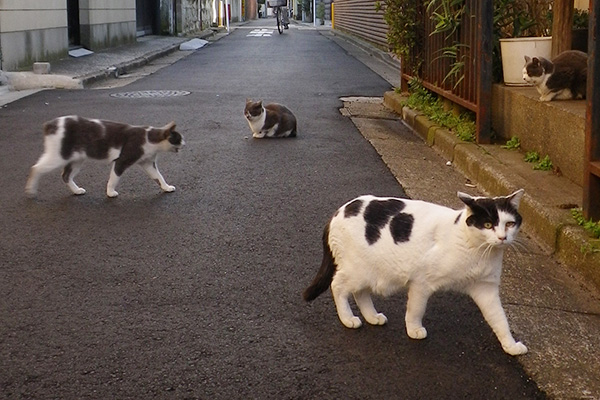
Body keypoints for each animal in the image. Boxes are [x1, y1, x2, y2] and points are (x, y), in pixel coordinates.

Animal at [25, 115, 184, 198]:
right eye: (178, 139)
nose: (185, 143)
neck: (149, 138)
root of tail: (49, 124)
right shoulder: (121, 161)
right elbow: (113, 179)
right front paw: (110, 192)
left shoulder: (147, 163)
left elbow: (159, 177)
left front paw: (166, 187)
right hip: (58, 156)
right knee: (35, 168)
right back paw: (30, 189)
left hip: (76, 160)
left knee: (65, 176)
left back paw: (77, 191)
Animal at [302, 191, 528, 356]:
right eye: (488, 224)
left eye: (509, 223)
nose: (502, 237)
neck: (477, 250)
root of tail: (338, 211)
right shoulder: (421, 282)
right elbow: (416, 310)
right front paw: (414, 330)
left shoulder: (486, 289)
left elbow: (500, 319)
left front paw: (510, 345)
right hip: (357, 270)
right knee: (337, 285)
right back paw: (348, 318)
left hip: (369, 272)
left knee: (360, 293)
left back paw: (372, 316)